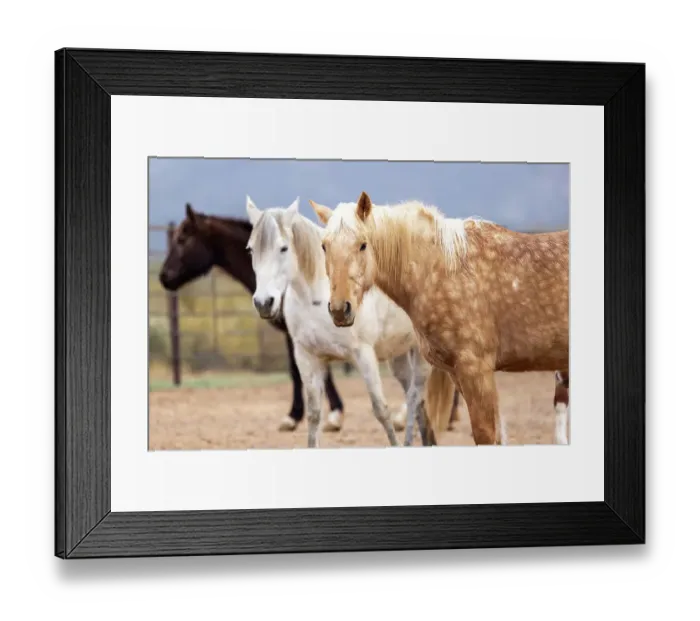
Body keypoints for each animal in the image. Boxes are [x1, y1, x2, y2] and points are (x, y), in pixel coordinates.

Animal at [244, 196, 453, 448]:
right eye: (251, 249)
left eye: (283, 248)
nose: (264, 303)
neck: (315, 297)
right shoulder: (307, 358)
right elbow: (314, 416)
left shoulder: (363, 355)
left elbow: (381, 411)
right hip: (398, 356)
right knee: (417, 401)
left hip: (422, 356)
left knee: (415, 397)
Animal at [310, 192, 570, 446]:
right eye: (324, 246)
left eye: (363, 245)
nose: (339, 309)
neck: (442, 270)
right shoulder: (459, 374)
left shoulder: (476, 370)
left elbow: (486, 435)